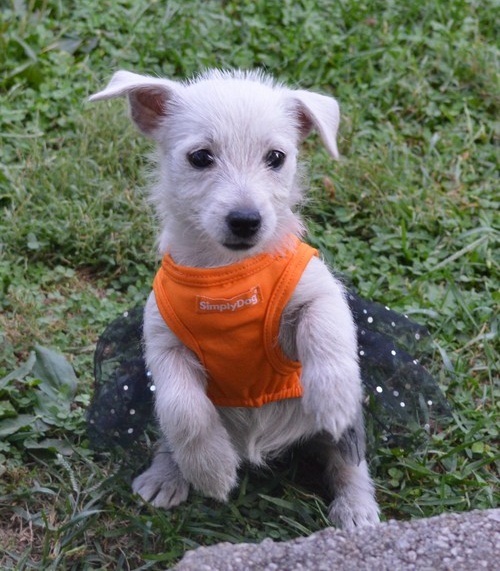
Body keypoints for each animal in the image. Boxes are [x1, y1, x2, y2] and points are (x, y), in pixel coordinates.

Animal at [89, 69, 380, 529]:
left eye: (276, 157)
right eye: (200, 157)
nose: (246, 221)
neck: (226, 275)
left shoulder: (318, 290)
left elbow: (326, 329)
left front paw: (332, 397)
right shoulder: (163, 342)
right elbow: (184, 409)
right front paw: (211, 469)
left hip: (346, 437)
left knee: (348, 456)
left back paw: (356, 506)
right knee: (170, 429)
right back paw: (167, 474)